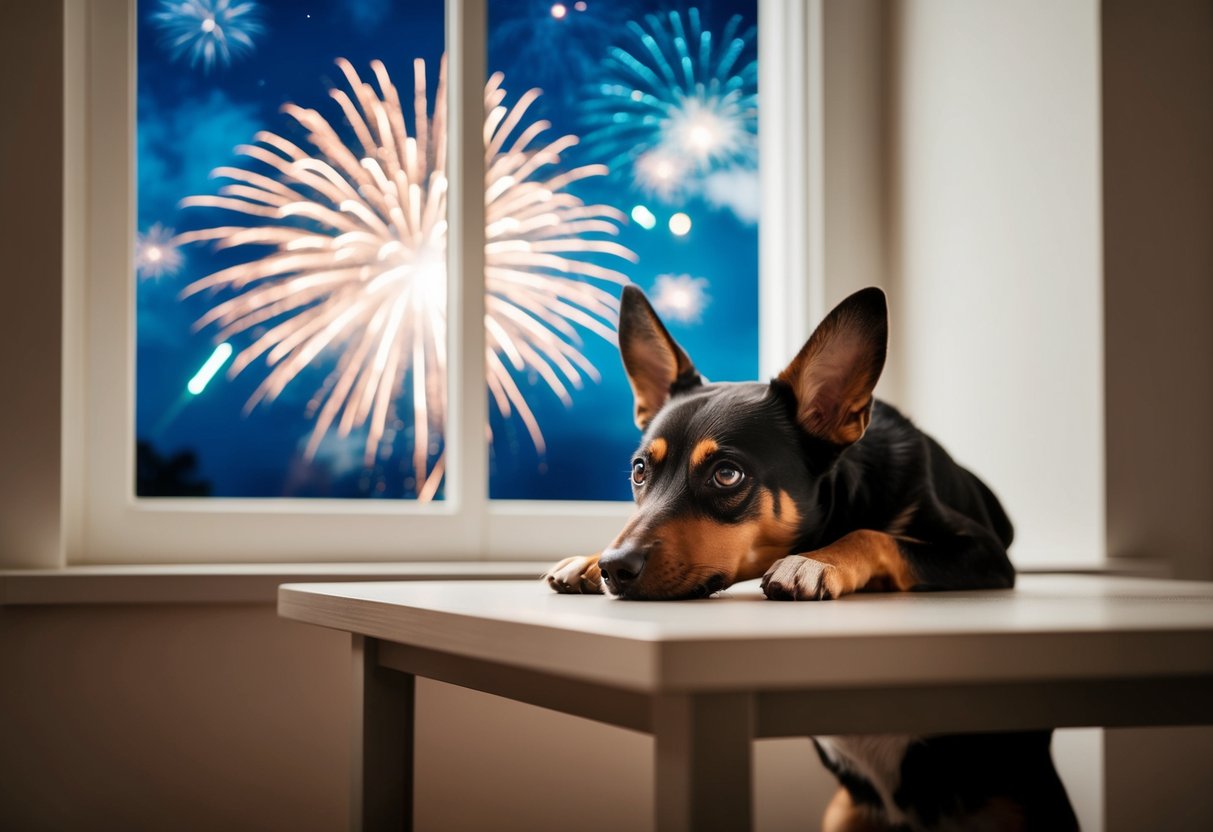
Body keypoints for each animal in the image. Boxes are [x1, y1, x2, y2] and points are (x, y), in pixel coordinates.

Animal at [545, 286, 1077, 832]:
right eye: (639, 471)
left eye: (727, 474)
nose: (615, 567)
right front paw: (587, 561)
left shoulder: (983, 554)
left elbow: (871, 534)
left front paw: (815, 562)